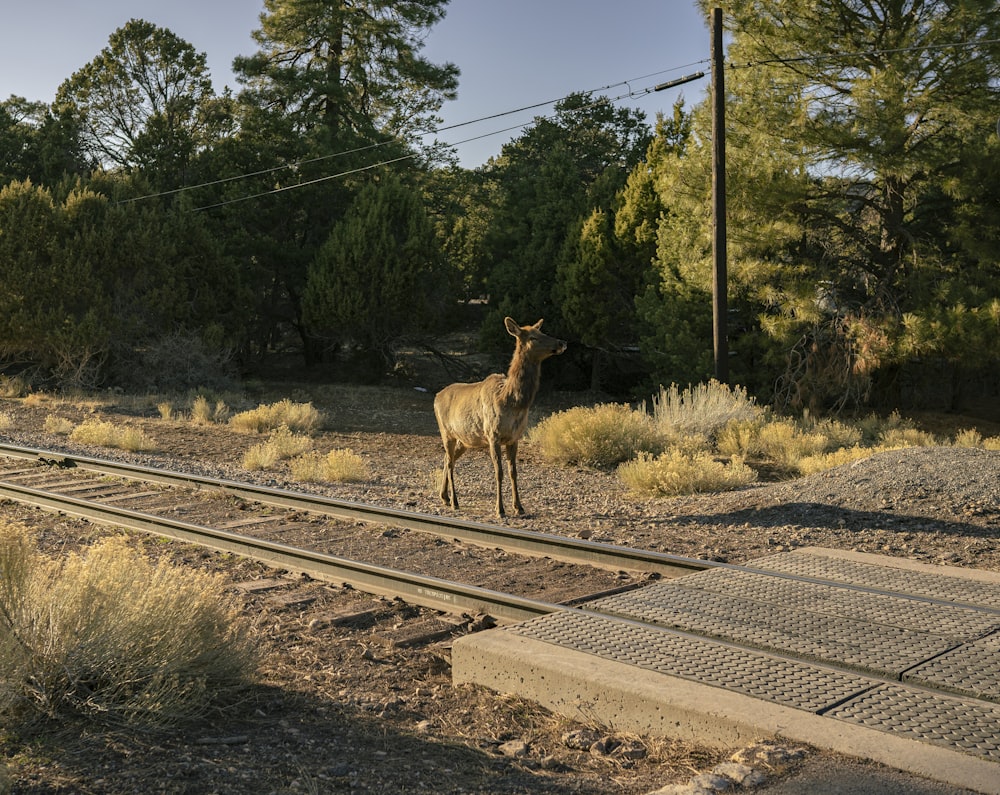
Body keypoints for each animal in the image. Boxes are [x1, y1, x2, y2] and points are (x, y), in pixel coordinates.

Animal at [434, 320, 568, 520]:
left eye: (543, 332)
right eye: (533, 337)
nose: (562, 342)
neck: (511, 401)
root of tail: (436, 397)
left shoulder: (514, 437)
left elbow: (514, 472)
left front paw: (519, 507)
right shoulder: (493, 435)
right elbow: (499, 472)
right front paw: (500, 509)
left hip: (464, 439)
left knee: (446, 459)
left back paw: (444, 497)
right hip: (446, 432)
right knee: (449, 463)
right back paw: (454, 502)